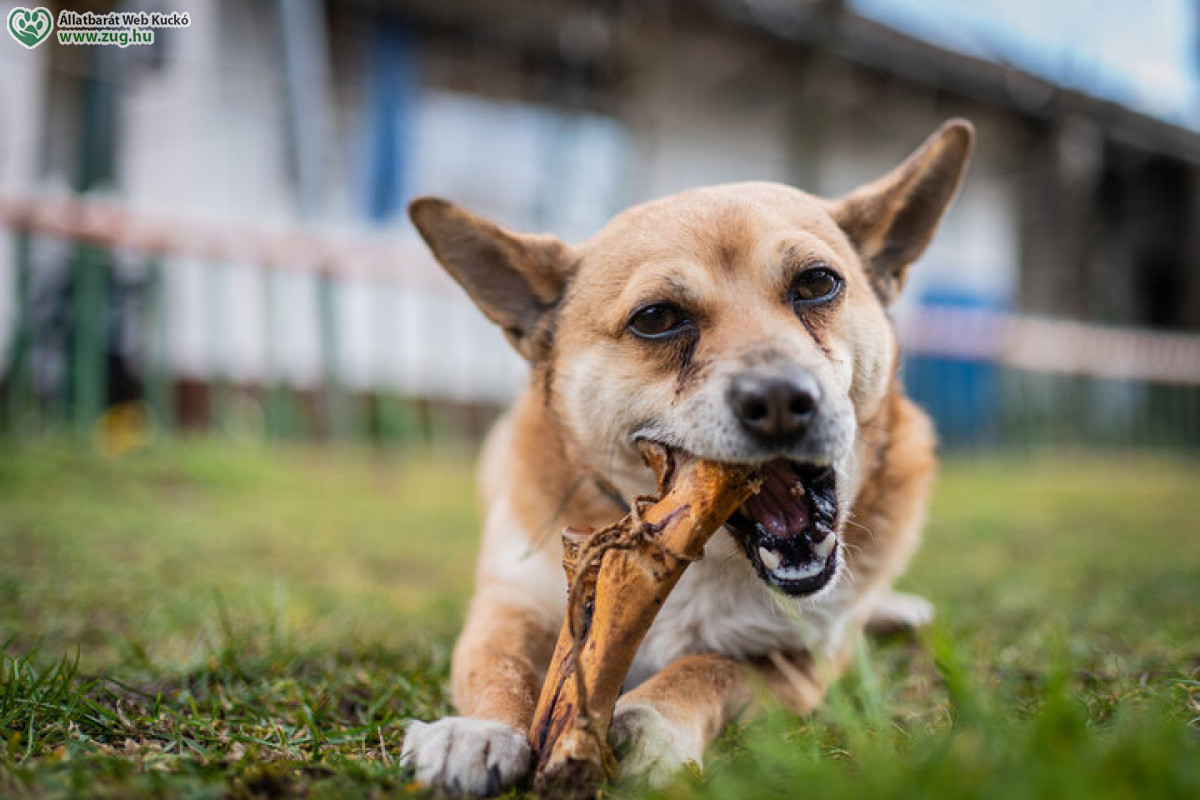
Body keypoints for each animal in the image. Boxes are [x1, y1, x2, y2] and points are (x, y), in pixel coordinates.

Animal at [398, 118, 969, 796]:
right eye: (656, 318)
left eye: (817, 282)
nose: (780, 400)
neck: (691, 551)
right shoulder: (513, 604)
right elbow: (500, 664)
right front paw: (477, 730)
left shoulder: (800, 657)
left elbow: (708, 665)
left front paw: (651, 720)